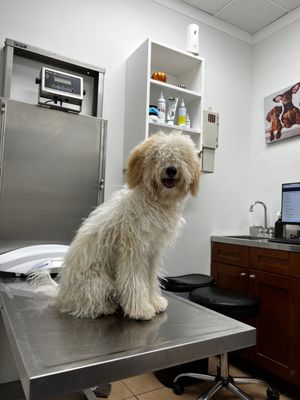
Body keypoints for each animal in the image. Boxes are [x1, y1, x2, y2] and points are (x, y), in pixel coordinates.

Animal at [31, 131, 200, 318]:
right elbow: (134, 281)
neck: (155, 202)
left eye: (181, 156)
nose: (171, 169)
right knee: (86, 304)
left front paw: (155, 302)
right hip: (98, 282)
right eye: (156, 155)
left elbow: (150, 279)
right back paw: (105, 307)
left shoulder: (152, 253)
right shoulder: (133, 251)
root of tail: (61, 294)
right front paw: (141, 309)